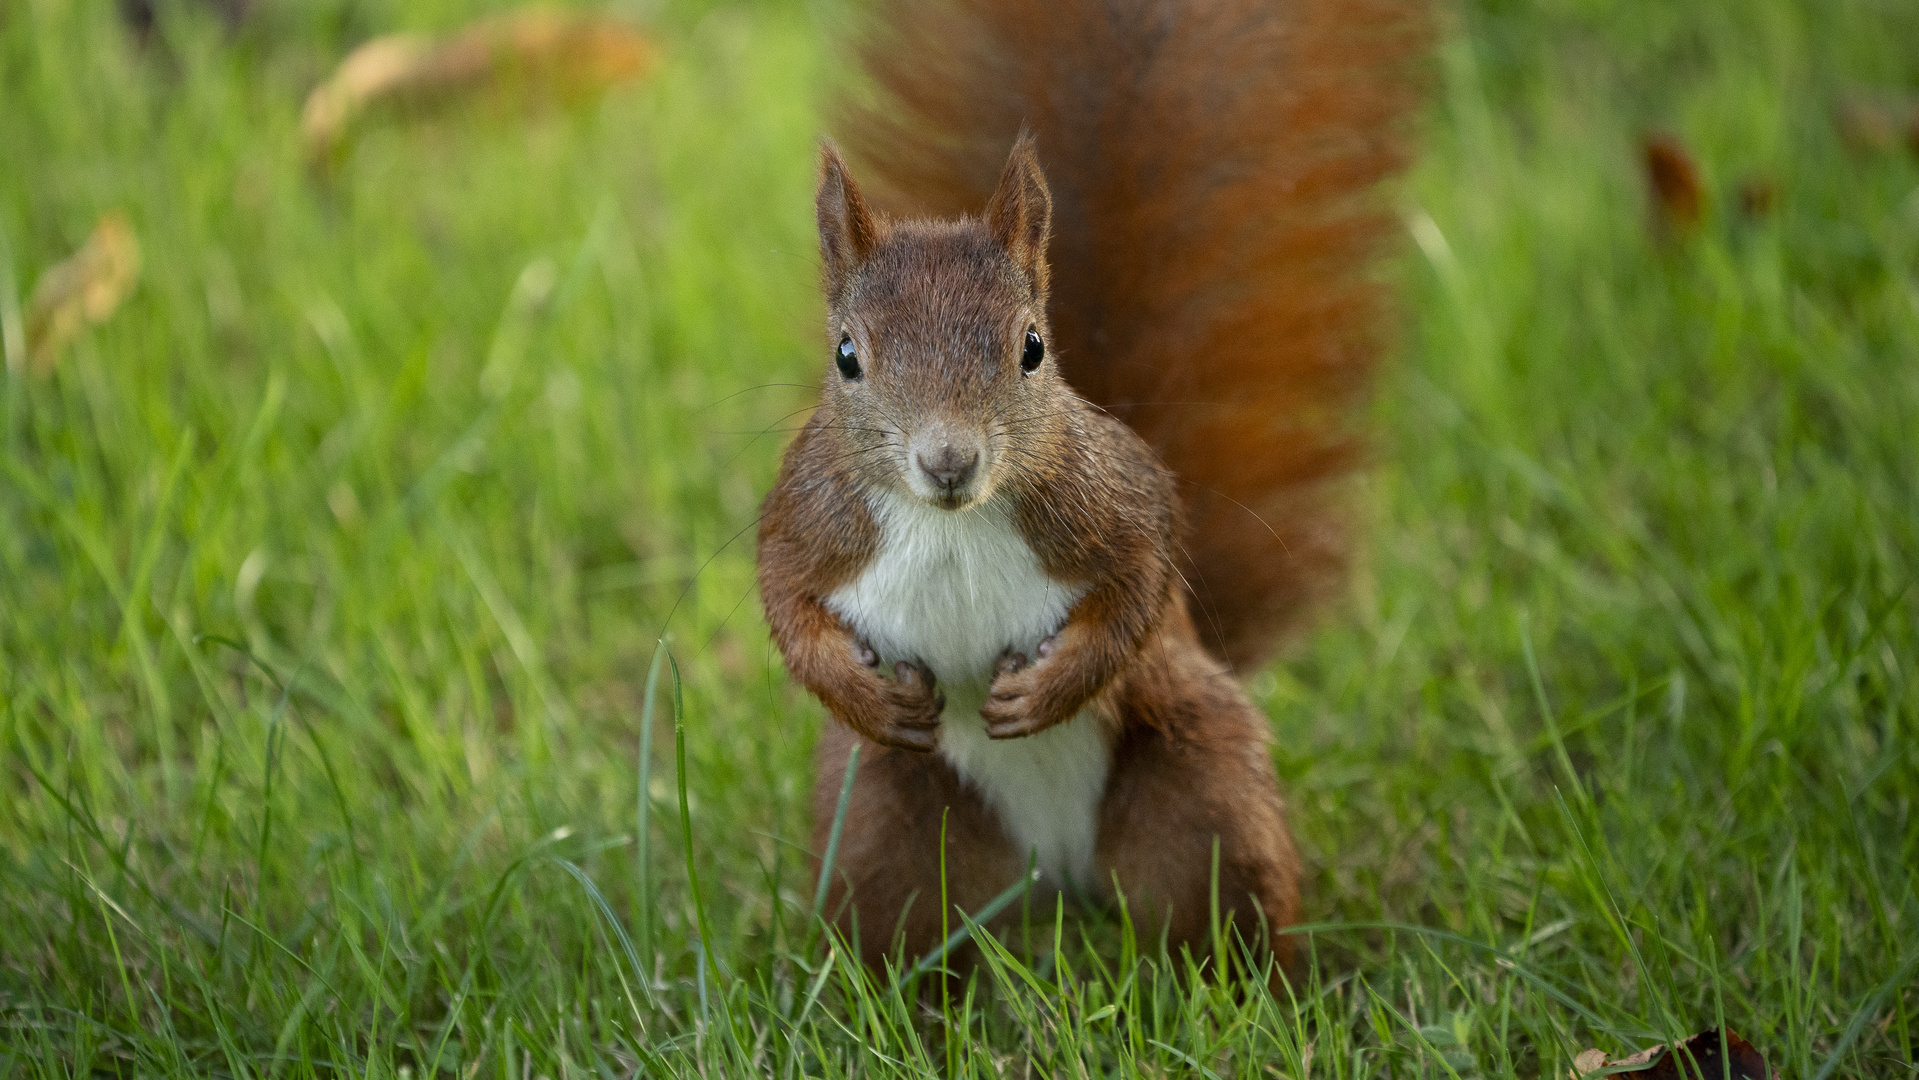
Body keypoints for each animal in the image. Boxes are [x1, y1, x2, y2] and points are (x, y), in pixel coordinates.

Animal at [752, 0, 1427, 974]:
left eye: (1031, 347)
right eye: (846, 356)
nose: (948, 462)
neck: (951, 525)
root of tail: (1055, 877)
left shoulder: (1115, 499)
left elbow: (1138, 587)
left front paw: (1046, 689)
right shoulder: (809, 517)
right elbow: (783, 603)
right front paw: (862, 693)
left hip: (1203, 789)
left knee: (1223, 911)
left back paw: (1265, 988)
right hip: (882, 823)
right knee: (894, 927)